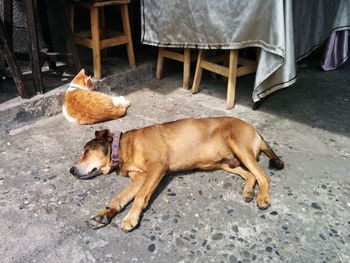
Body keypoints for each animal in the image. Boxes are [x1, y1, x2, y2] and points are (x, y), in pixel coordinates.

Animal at [69, 116, 284, 232]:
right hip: (224, 163)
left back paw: (262, 198)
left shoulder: (157, 168)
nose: (70, 170)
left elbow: (140, 197)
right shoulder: (139, 178)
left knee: (263, 176)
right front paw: (105, 214)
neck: (122, 147)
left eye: (86, 151)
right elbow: (119, 198)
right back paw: (248, 192)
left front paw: (131, 218)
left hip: (240, 147)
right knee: (250, 175)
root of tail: (255, 130)